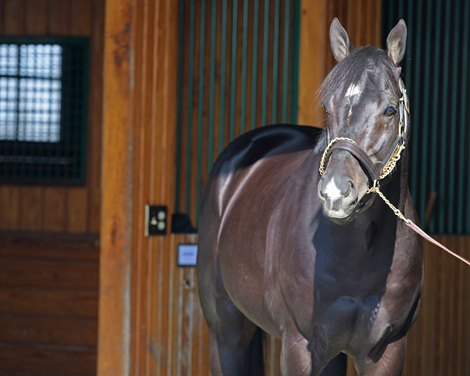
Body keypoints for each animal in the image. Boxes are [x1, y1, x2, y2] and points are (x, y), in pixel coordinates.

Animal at [197, 18, 422, 376]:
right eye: (328, 108)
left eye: (389, 109)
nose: (336, 193)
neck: (360, 253)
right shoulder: (300, 347)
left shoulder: (387, 351)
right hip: (226, 329)